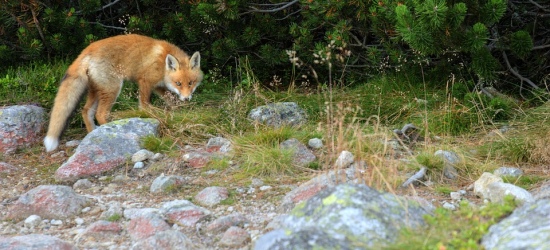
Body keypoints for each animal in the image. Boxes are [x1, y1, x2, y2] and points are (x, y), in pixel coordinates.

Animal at [42, 34, 203, 151]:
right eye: (178, 83)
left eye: (190, 83)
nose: (187, 98)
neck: (163, 63)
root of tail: (87, 51)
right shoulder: (145, 81)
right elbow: (144, 105)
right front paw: (150, 114)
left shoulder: (158, 87)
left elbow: (171, 100)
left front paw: (178, 110)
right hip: (112, 89)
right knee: (100, 114)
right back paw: (109, 129)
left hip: (96, 90)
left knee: (86, 111)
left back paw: (92, 132)